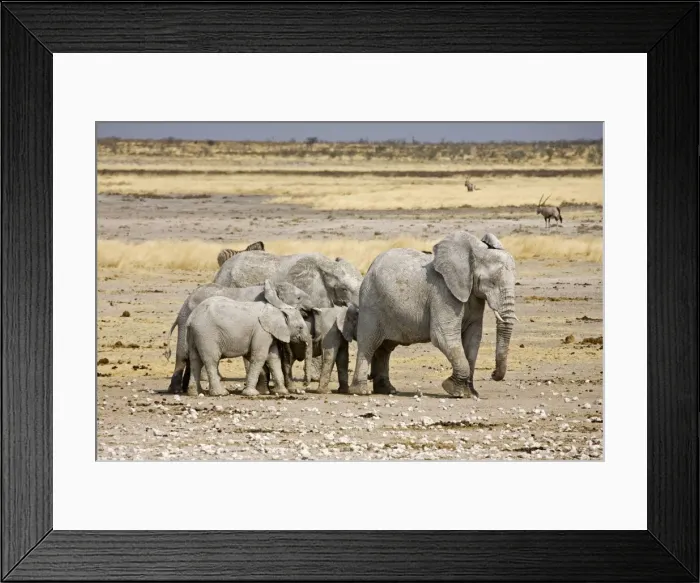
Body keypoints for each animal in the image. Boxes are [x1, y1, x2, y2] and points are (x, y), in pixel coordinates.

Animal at [165, 280, 314, 394]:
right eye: (299, 298)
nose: (305, 385)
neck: (273, 287)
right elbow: (255, 356)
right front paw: (261, 391)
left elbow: (275, 356)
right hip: (190, 324)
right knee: (185, 355)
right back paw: (178, 390)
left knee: (194, 358)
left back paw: (191, 390)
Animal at [348, 231, 518, 398]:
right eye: (491, 282)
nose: (493, 374)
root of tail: (370, 267)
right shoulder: (443, 293)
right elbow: (443, 335)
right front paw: (453, 390)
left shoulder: (473, 296)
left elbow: (473, 338)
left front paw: (470, 393)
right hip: (370, 302)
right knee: (369, 343)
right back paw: (361, 391)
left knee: (385, 348)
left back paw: (387, 390)